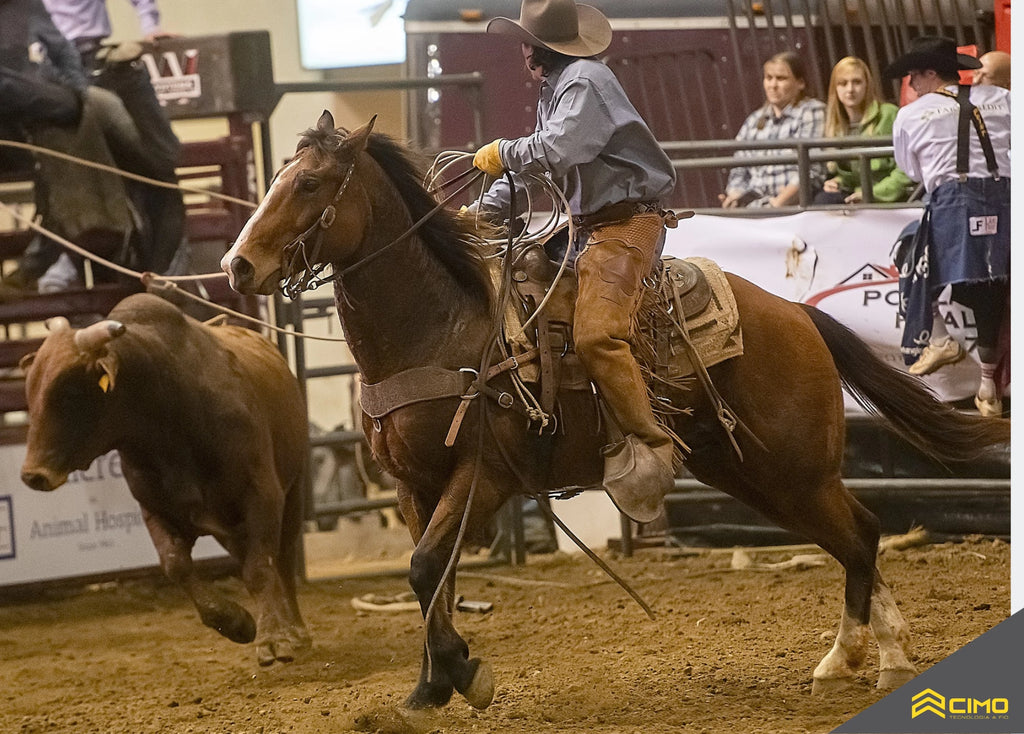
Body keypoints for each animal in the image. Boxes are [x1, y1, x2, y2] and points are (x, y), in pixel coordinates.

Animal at [220, 113, 1011, 708]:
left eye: (310, 183)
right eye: (278, 177)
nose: (237, 266)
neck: (440, 329)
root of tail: (797, 315)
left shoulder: (485, 477)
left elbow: (423, 571)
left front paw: (463, 676)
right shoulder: (413, 487)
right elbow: (430, 582)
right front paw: (435, 683)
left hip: (792, 471)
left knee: (860, 535)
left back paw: (866, 657)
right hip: (751, 473)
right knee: (858, 535)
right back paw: (873, 657)